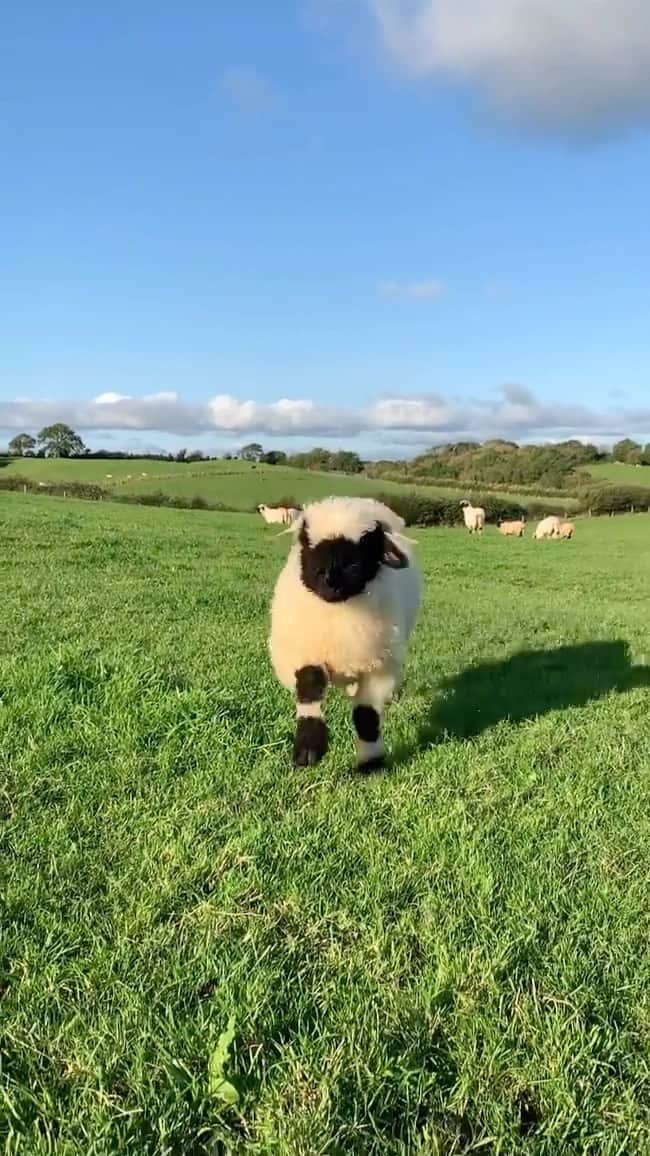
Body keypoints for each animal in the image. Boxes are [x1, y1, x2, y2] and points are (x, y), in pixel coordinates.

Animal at [267, 494, 420, 772]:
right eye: (310, 547)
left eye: (356, 557)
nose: (330, 580)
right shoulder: (305, 651)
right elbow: (310, 686)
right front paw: (308, 750)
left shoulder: (378, 668)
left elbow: (366, 715)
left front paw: (370, 763)